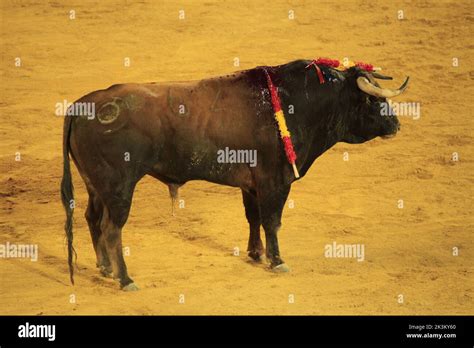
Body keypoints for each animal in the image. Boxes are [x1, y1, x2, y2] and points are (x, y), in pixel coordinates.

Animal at [60, 59, 408, 290]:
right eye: (370, 98)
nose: (396, 124)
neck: (298, 103)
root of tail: (81, 105)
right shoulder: (275, 181)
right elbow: (272, 220)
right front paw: (277, 261)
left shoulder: (251, 184)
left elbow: (253, 218)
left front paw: (256, 253)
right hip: (119, 187)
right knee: (111, 229)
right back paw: (125, 278)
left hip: (96, 186)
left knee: (92, 219)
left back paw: (105, 268)